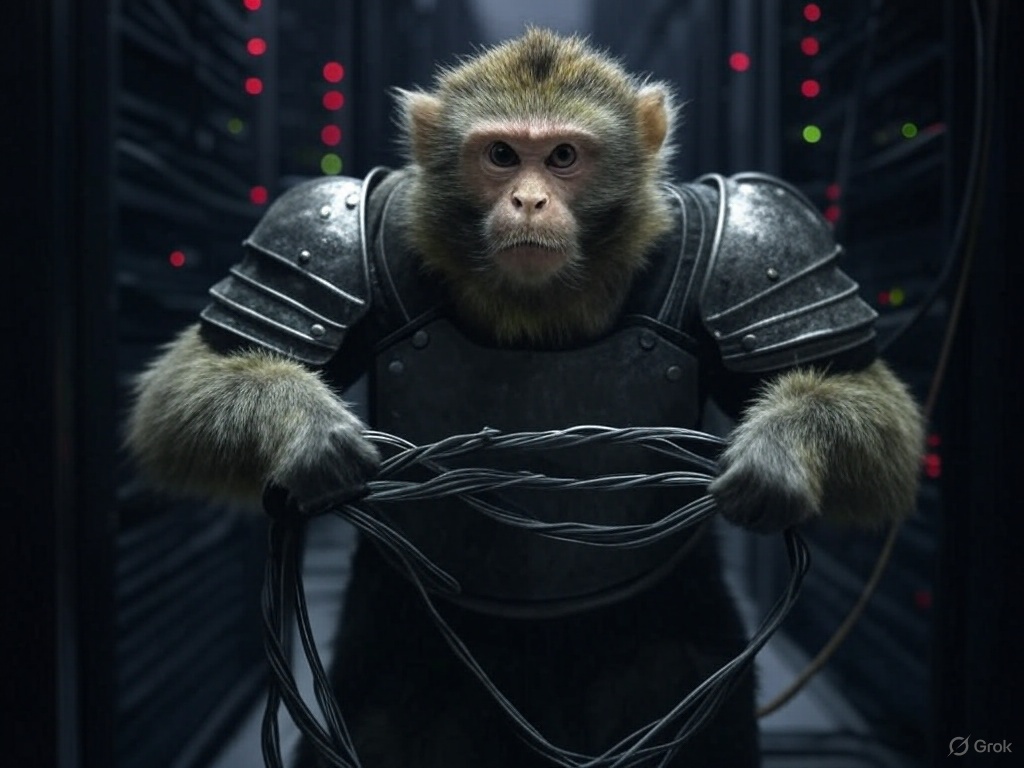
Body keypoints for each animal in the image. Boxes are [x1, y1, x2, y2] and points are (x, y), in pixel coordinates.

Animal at [126, 28, 924, 768]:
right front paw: (308, 437)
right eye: (503, 156)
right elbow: (189, 387)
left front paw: (775, 458)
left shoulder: (756, 243)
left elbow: (854, 386)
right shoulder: (328, 223)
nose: (530, 199)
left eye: (563, 157)